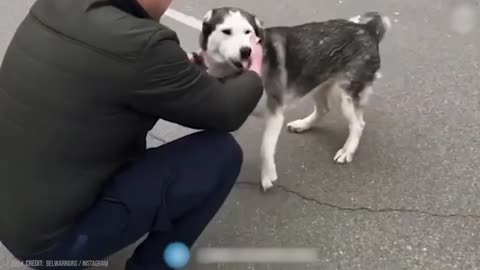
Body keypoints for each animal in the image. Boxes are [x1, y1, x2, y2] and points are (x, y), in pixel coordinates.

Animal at [195, 7, 390, 190]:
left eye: (247, 32)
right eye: (226, 31)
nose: (246, 51)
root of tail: (367, 28)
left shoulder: (274, 112)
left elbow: (265, 148)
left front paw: (268, 175)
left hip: (345, 95)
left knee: (358, 124)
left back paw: (347, 150)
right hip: (316, 80)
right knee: (324, 109)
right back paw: (304, 124)